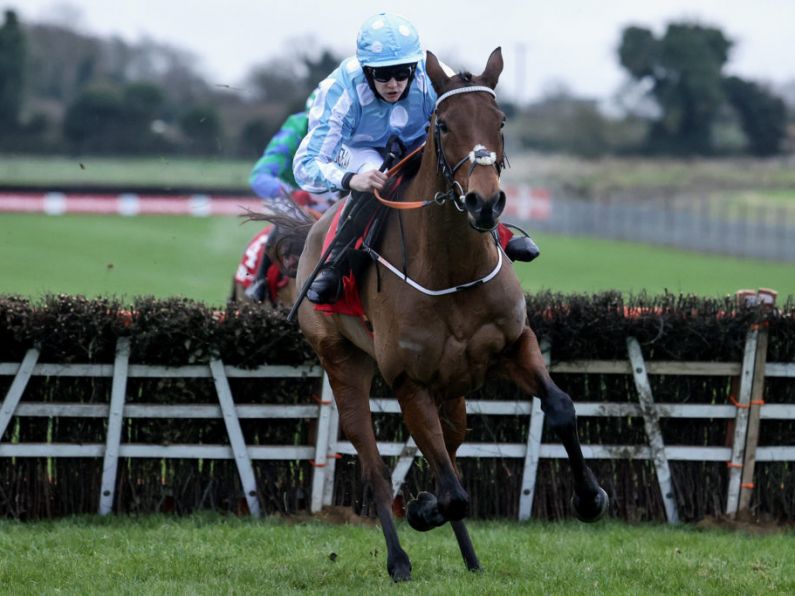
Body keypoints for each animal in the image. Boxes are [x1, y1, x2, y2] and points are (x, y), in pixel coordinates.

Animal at [294, 49, 608, 580]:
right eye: (442, 125)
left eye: (500, 121)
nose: (486, 202)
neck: (453, 272)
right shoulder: (408, 382)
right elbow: (453, 493)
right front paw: (424, 509)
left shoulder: (515, 344)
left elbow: (561, 408)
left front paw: (590, 498)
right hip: (342, 361)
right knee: (376, 465)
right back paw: (399, 559)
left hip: (454, 390)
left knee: (451, 449)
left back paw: (471, 558)